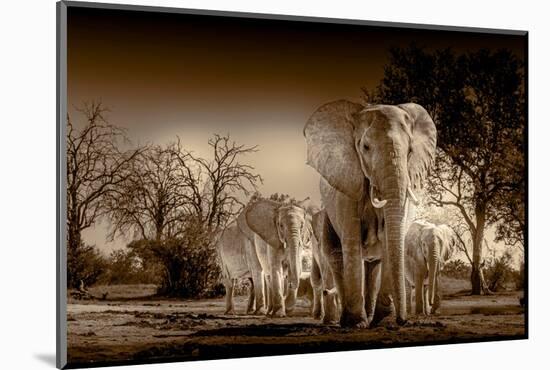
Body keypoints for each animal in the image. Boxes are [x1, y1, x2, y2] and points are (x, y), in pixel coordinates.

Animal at [304, 100, 438, 326]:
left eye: (410, 150)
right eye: (365, 147)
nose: (404, 321)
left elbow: (389, 239)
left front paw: (383, 321)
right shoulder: (346, 186)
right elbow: (351, 242)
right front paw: (356, 323)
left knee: (373, 265)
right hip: (327, 215)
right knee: (335, 255)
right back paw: (344, 320)